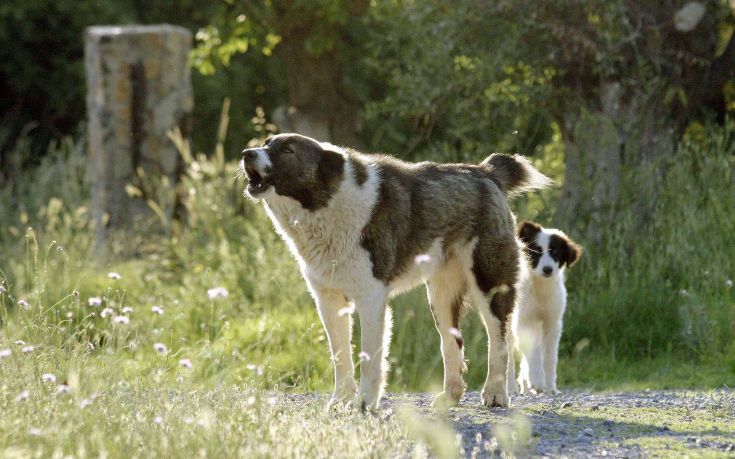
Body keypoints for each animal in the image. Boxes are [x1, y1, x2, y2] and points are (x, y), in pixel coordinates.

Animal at [240, 133, 552, 410]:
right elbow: (340, 355)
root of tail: (486, 172)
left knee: (499, 339)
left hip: (488, 283)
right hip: (440, 299)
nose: (246, 153)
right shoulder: (328, 301)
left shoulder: (371, 299)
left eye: (288, 150)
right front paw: (340, 401)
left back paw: (496, 393)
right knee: (452, 343)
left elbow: (369, 358)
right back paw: (450, 396)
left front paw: (365, 403)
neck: (327, 203)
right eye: (266, 143)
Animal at [508, 222, 584, 396]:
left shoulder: (552, 323)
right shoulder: (524, 321)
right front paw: (537, 381)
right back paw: (510, 387)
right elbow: (534, 352)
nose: (548, 269)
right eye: (537, 251)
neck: (541, 288)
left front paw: (550, 387)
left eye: (556, 252)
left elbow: (549, 357)